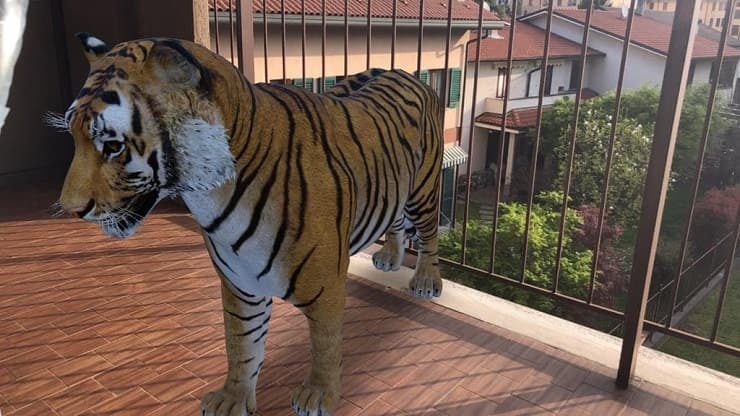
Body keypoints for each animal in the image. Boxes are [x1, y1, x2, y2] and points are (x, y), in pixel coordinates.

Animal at [51, 33, 443, 416]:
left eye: (113, 146)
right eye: (72, 135)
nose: (70, 209)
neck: (212, 197)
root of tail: (401, 71)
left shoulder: (327, 286)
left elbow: (325, 343)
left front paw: (318, 395)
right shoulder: (239, 284)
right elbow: (241, 346)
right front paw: (233, 399)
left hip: (423, 189)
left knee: (428, 234)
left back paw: (426, 280)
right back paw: (390, 257)